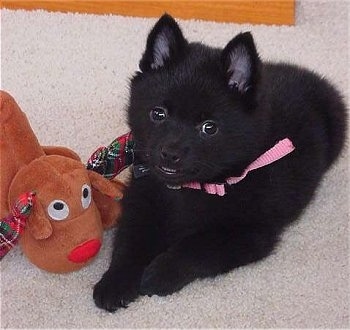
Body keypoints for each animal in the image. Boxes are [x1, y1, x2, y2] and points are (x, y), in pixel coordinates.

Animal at [93, 13, 348, 312]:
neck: (190, 189)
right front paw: (115, 283)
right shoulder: (140, 201)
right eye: (158, 113)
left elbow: (199, 247)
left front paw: (160, 273)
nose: (170, 153)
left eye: (209, 127)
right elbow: (130, 242)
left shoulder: (251, 231)